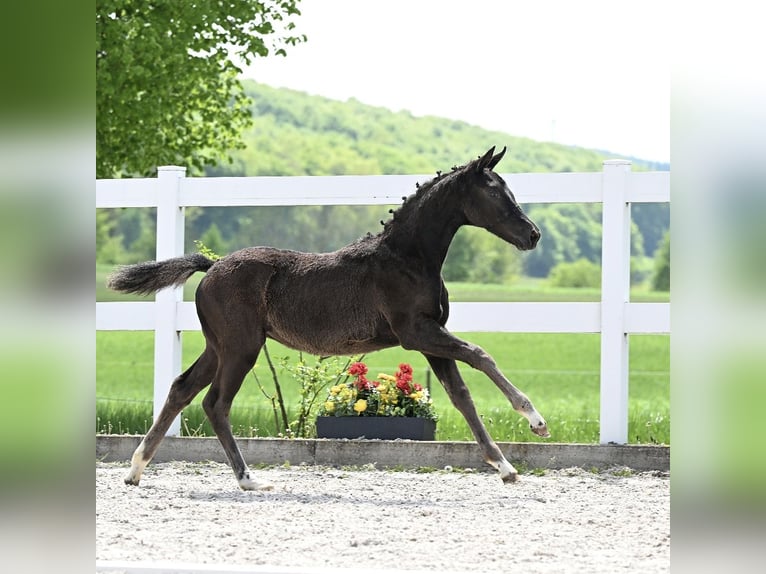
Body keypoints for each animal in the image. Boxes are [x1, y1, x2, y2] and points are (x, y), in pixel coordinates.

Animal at [107, 146, 550, 490]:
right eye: (495, 192)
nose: (533, 235)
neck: (406, 258)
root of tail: (211, 265)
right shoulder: (417, 332)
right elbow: (480, 354)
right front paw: (534, 419)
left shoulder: (431, 338)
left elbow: (461, 396)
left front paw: (505, 467)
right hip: (241, 347)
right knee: (216, 403)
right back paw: (248, 478)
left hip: (220, 346)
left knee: (181, 389)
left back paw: (136, 469)